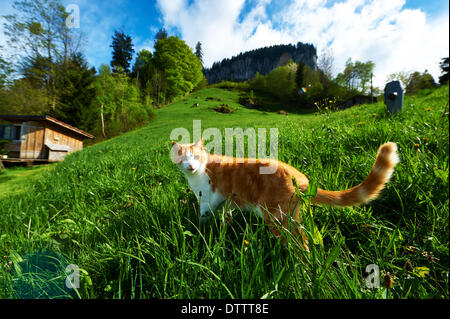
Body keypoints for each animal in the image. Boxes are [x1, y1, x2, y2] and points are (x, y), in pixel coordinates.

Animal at [172, 139, 400, 251]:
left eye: (196, 157)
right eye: (183, 159)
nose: (190, 166)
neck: (204, 168)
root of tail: (298, 177)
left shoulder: (206, 203)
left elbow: (202, 220)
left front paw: (202, 232)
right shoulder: (225, 202)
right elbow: (225, 216)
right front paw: (224, 227)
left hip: (277, 218)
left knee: (300, 244)